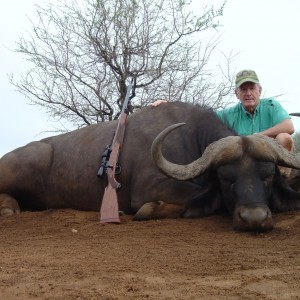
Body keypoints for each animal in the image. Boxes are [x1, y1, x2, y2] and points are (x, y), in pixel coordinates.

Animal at [0, 102, 300, 231]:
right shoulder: (151, 189)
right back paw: (8, 208)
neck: (191, 137)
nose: (254, 219)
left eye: (268, 176)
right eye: (227, 179)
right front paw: (150, 210)